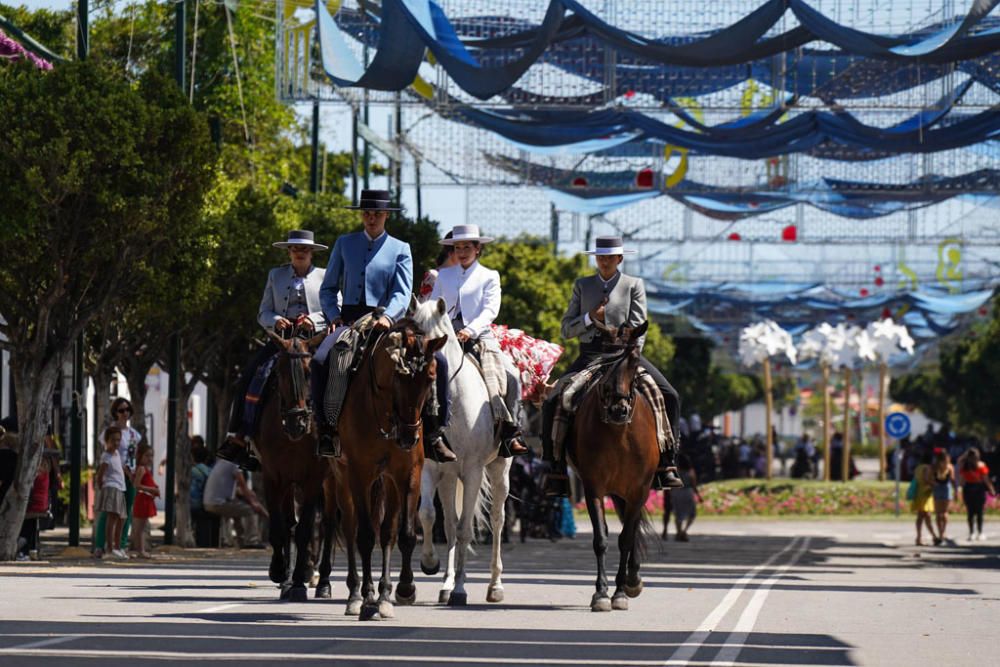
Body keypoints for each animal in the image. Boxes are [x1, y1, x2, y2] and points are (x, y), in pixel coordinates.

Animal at [256, 332, 338, 604]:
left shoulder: (313, 478)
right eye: (279, 372)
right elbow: (280, 527)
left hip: (332, 481)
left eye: (308, 371)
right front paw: (280, 572)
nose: (297, 423)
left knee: (328, 524)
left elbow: (305, 529)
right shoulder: (273, 476)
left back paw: (323, 582)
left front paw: (301, 581)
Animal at [330, 318, 444, 620]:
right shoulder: (359, 474)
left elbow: (401, 534)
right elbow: (365, 536)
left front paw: (398, 591)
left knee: (387, 530)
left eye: (430, 377)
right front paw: (369, 598)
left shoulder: (408, 474)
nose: (408, 437)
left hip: (388, 483)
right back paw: (355, 594)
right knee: (350, 527)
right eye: (398, 378)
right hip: (342, 477)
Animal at [410, 298, 512, 604]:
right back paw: (446, 583)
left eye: (438, 339)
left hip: (499, 470)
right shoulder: (431, 468)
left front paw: (460, 590)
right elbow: (429, 516)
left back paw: (494, 586)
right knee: (449, 525)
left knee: (497, 520)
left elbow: (466, 529)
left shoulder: (473, 472)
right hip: (448, 477)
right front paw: (430, 563)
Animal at [572, 320, 656, 612]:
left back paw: (633, 579)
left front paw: (620, 591)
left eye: (633, 360)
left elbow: (626, 539)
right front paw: (601, 593)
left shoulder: (639, 490)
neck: (619, 435)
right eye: (604, 359)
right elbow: (601, 539)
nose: (618, 410)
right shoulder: (593, 488)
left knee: (632, 531)